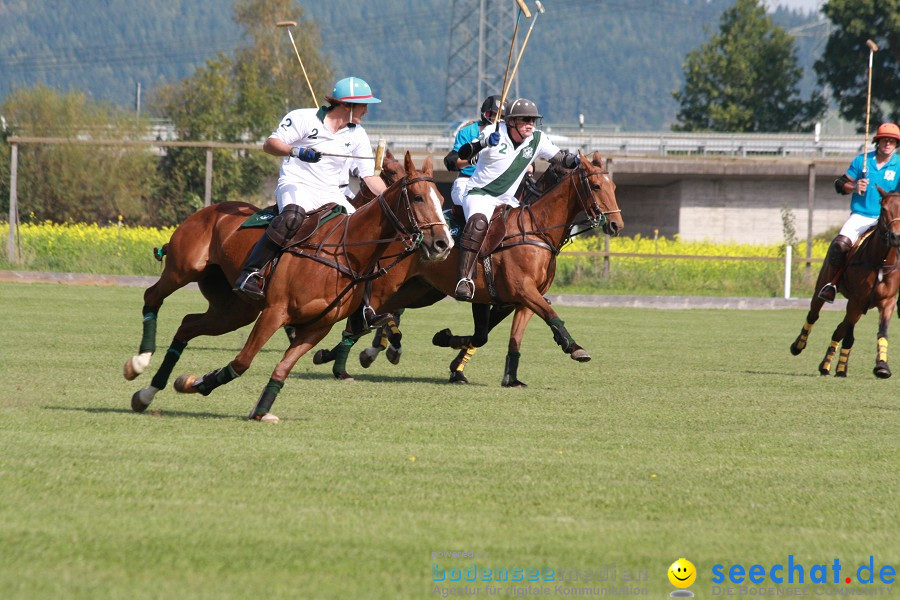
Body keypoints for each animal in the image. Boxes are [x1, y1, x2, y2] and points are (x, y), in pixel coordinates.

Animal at [123, 152, 454, 420]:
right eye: (418, 197)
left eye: (441, 198)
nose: (443, 244)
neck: (345, 251)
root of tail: (209, 209)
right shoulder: (274, 312)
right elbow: (242, 361)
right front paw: (199, 383)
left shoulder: (317, 327)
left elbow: (282, 368)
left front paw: (257, 409)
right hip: (184, 269)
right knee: (152, 296)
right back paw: (139, 361)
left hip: (234, 310)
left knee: (187, 324)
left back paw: (146, 395)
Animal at [312, 152, 624, 382]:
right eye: (597, 186)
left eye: (614, 187)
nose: (616, 224)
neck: (537, 232)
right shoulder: (522, 291)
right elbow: (550, 316)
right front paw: (575, 348)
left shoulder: (515, 300)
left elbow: (501, 337)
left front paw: (506, 376)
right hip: (388, 286)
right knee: (362, 316)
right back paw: (342, 361)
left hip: (419, 291)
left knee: (372, 317)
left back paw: (346, 354)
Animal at [792, 188, 900, 378]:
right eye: (884, 209)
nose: (896, 237)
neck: (881, 261)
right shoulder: (856, 300)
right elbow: (849, 336)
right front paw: (842, 369)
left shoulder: (888, 301)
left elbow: (882, 331)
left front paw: (882, 366)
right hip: (823, 287)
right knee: (814, 315)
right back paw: (799, 346)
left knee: (838, 329)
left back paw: (825, 366)